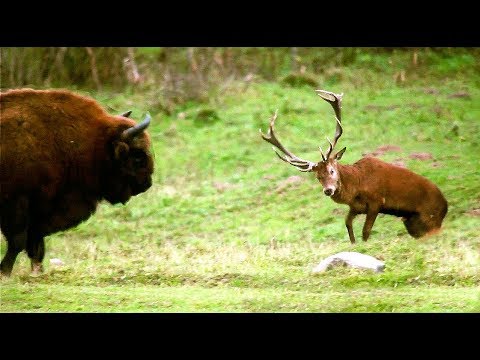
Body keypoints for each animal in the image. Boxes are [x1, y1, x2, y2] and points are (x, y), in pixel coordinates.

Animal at [0, 89, 154, 276]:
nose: (146, 184)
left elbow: (36, 245)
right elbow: (18, 241)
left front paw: (38, 272)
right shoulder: (16, 203)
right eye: (138, 157)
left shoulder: (40, 209)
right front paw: (4, 272)